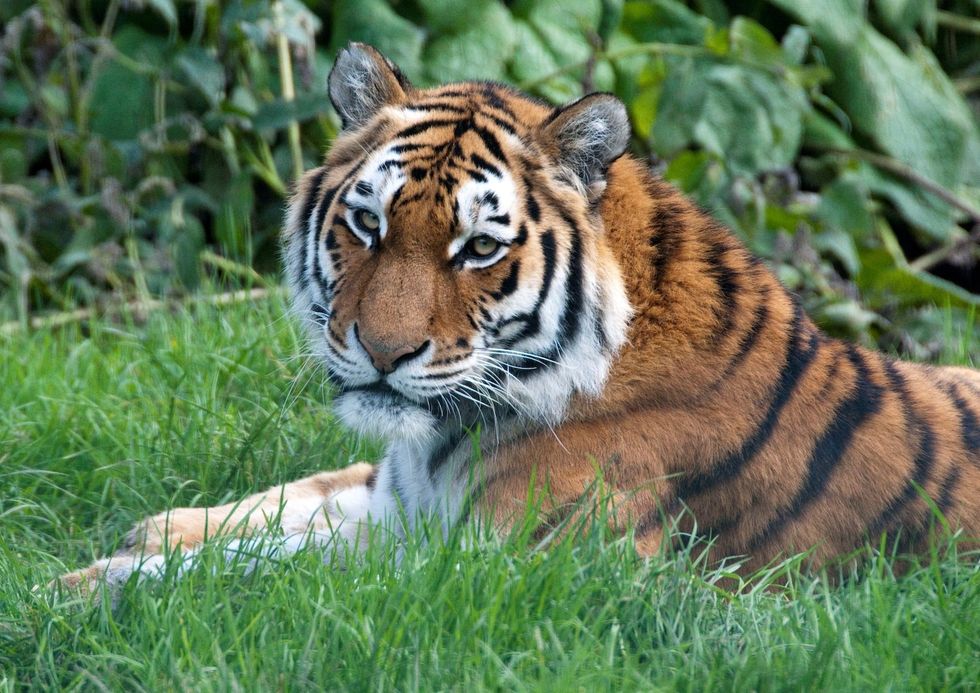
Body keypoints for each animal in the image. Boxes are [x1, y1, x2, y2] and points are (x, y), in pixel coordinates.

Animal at [58, 43, 980, 593]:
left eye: (476, 248)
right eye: (368, 224)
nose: (381, 352)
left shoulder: (509, 568)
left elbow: (267, 574)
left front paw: (70, 589)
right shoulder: (398, 498)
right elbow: (292, 500)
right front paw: (152, 532)